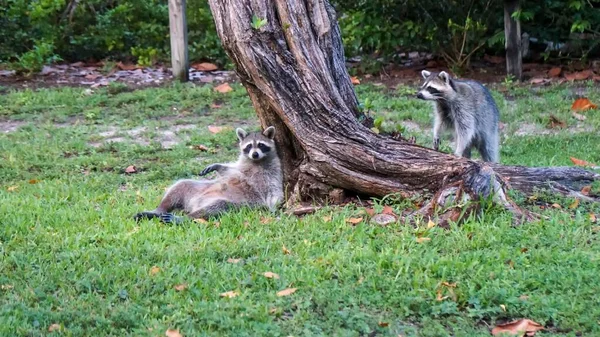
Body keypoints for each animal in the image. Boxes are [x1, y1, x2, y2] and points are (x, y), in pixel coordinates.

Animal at [135, 126, 284, 223]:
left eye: (261, 145)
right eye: (249, 146)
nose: (255, 154)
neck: (256, 162)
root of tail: (193, 205)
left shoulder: (274, 168)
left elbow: (275, 189)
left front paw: (273, 207)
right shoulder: (242, 165)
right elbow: (231, 170)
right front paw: (218, 166)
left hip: (231, 204)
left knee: (216, 207)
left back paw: (185, 218)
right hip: (196, 188)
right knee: (181, 185)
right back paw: (159, 210)